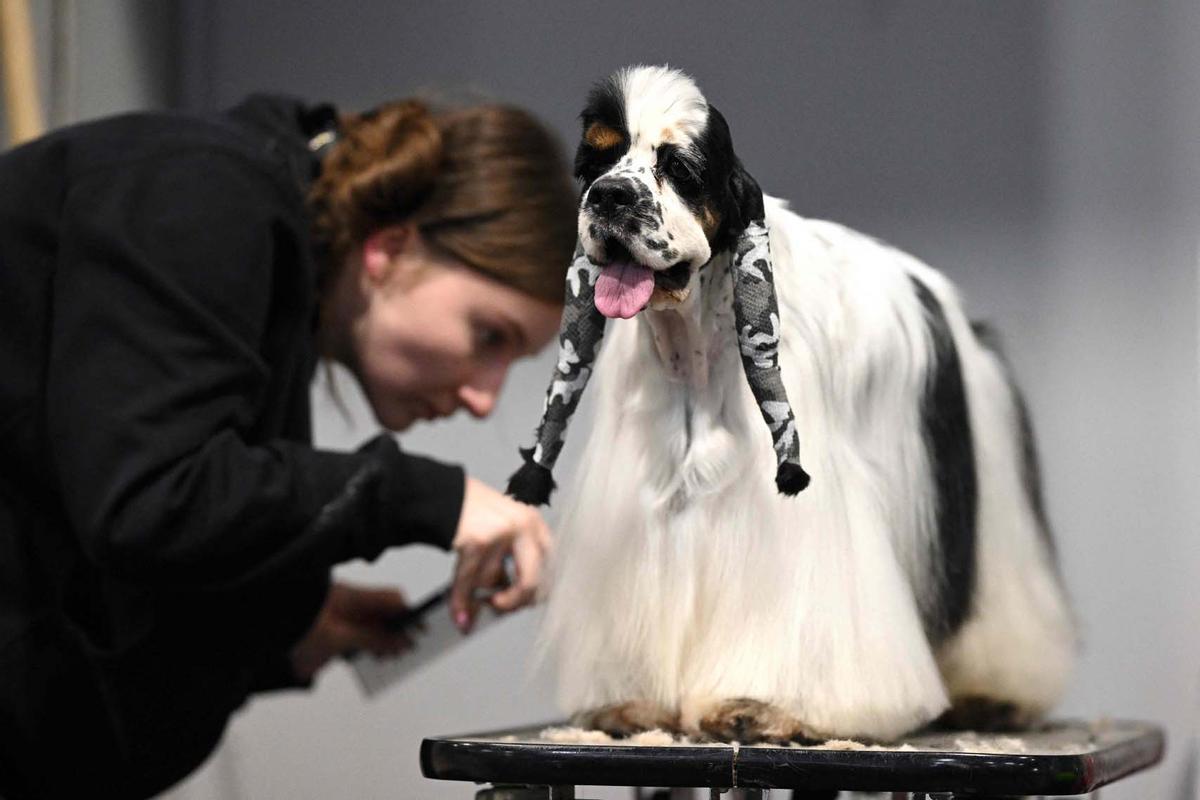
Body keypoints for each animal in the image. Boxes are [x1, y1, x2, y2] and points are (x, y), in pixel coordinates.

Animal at [511, 67, 1075, 743]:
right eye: (593, 161)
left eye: (680, 167)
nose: (610, 198)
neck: (697, 342)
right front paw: (630, 700)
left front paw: (758, 705)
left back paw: (994, 694)